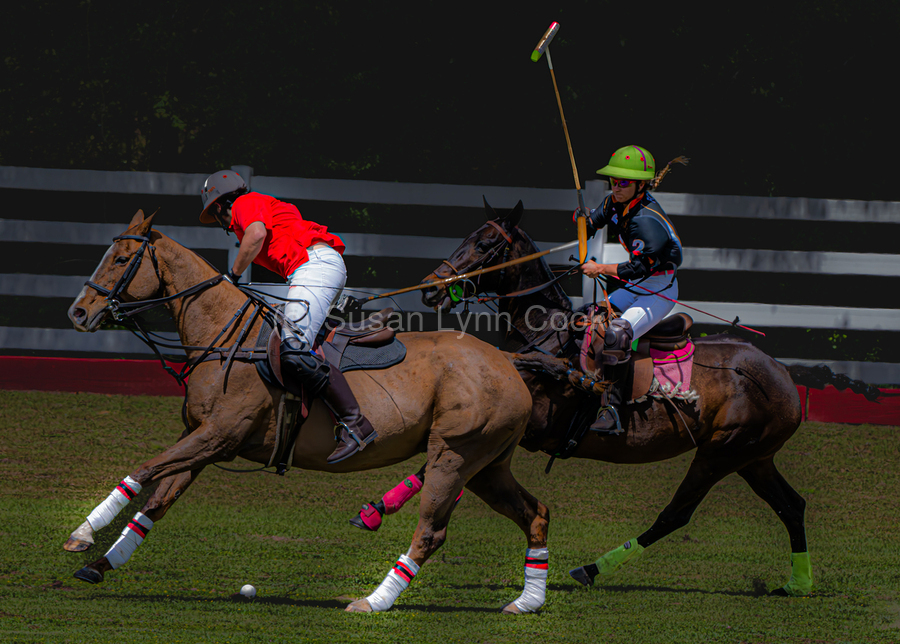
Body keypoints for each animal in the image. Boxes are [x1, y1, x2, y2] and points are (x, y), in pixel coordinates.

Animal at [62, 209, 548, 614]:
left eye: (122, 259)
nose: (78, 313)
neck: (227, 337)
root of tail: (508, 362)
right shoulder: (200, 438)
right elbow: (157, 500)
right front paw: (102, 563)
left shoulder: (219, 436)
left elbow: (143, 470)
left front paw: (82, 535)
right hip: (486, 465)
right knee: (536, 513)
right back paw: (527, 602)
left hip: (454, 454)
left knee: (431, 532)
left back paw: (373, 601)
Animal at [363, 199, 828, 596]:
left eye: (483, 244)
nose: (429, 288)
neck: (543, 338)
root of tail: (785, 376)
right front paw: (377, 508)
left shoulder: (529, 425)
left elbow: (443, 467)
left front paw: (380, 509)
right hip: (753, 457)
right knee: (792, 505)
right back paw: (799, 583)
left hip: (721, 452)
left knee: (676, 514)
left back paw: (593, 568)